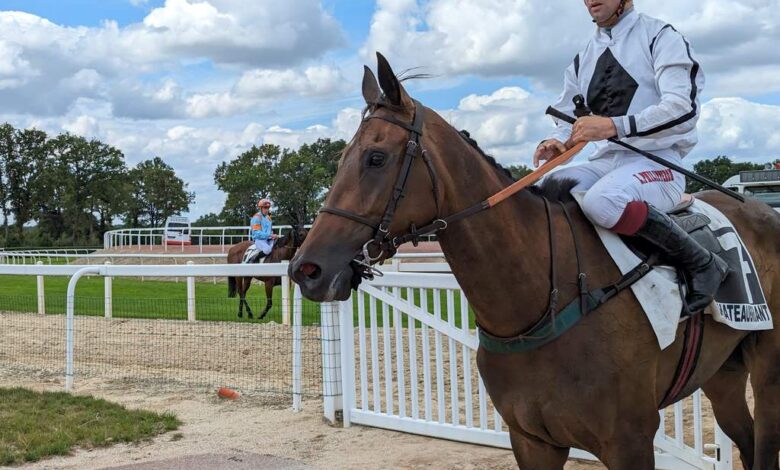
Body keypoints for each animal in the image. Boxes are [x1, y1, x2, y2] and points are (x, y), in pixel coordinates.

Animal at [290, 53, 780, 468]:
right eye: (340, 158)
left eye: (375, 157)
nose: (306, 270)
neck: (545, 294)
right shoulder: (531, 440)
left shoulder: (630, 440)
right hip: (722, 373)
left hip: (767, 371)